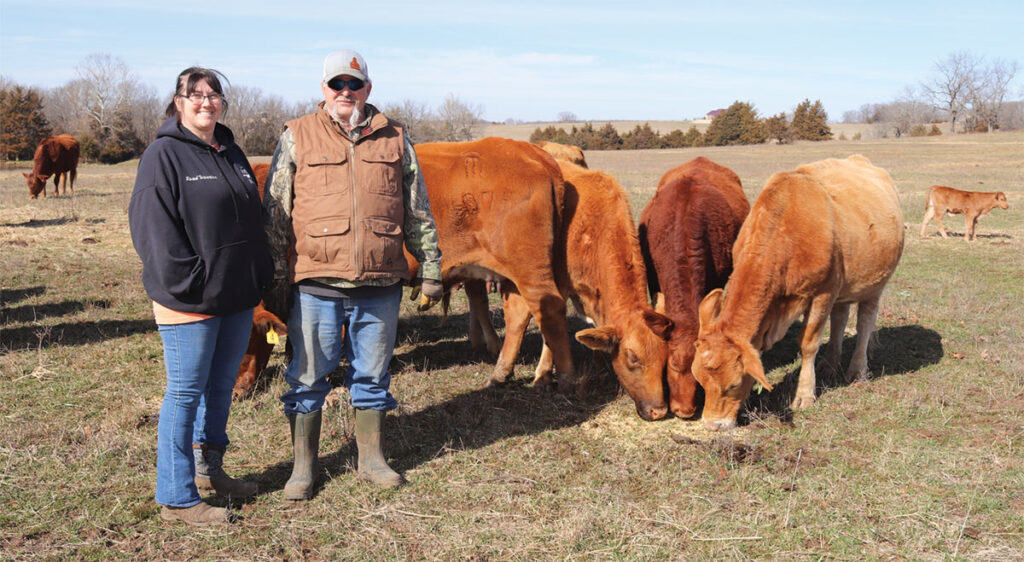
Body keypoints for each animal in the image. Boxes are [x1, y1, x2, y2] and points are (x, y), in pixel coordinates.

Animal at [688, 155, 905, 431]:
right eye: (699, 378)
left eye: (735, 383)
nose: (713, 424)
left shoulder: (823, 293)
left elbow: (808, 344)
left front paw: (804, 394)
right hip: (844, 289)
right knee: (840, 318)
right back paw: (830, 364)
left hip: (875, 284)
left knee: (865, 321)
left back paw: (857, 369)